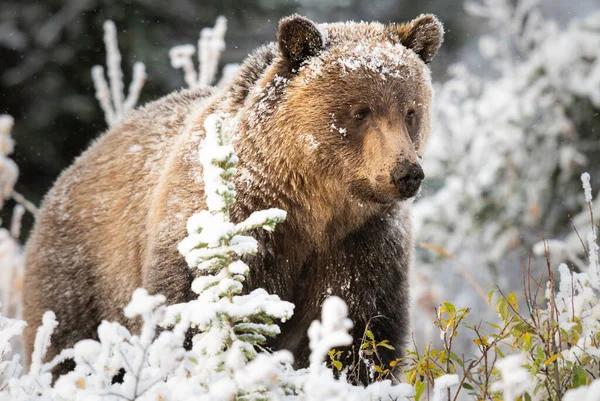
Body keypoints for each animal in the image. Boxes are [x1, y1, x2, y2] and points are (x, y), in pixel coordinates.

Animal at [22, 13, 440, 382]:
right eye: (360, 111)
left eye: (410, 111)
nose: (406, 173)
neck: (314, 206)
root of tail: (81, 158)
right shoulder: (232, 227)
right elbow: (200, 313)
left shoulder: (360, 244)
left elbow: (361, 330)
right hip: (84, 273)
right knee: (67, 344)